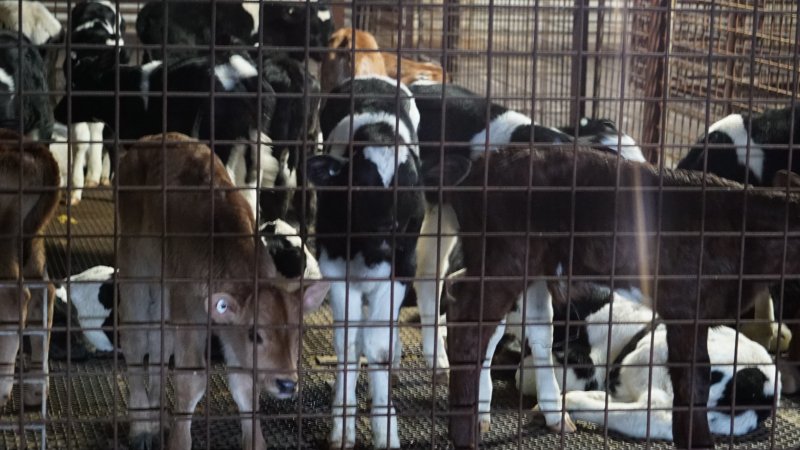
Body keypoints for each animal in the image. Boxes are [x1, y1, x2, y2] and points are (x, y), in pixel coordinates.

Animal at [117, 134, 330, 450]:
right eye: (255, 334)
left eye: (297, 334)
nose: (287, 383)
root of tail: (148, 141)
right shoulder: (188, 314)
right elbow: (192, 379)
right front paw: (179, 440)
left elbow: (244, 385)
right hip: (135, 268)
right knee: (134, 340)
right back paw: (142, 428)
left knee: (158, 345)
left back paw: (159, 419)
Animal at [512, 288, 780, 440]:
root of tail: (764, 390)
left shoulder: (588, 364)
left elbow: (525, 375)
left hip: (655, 357)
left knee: (652, 412)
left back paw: (568, 403)